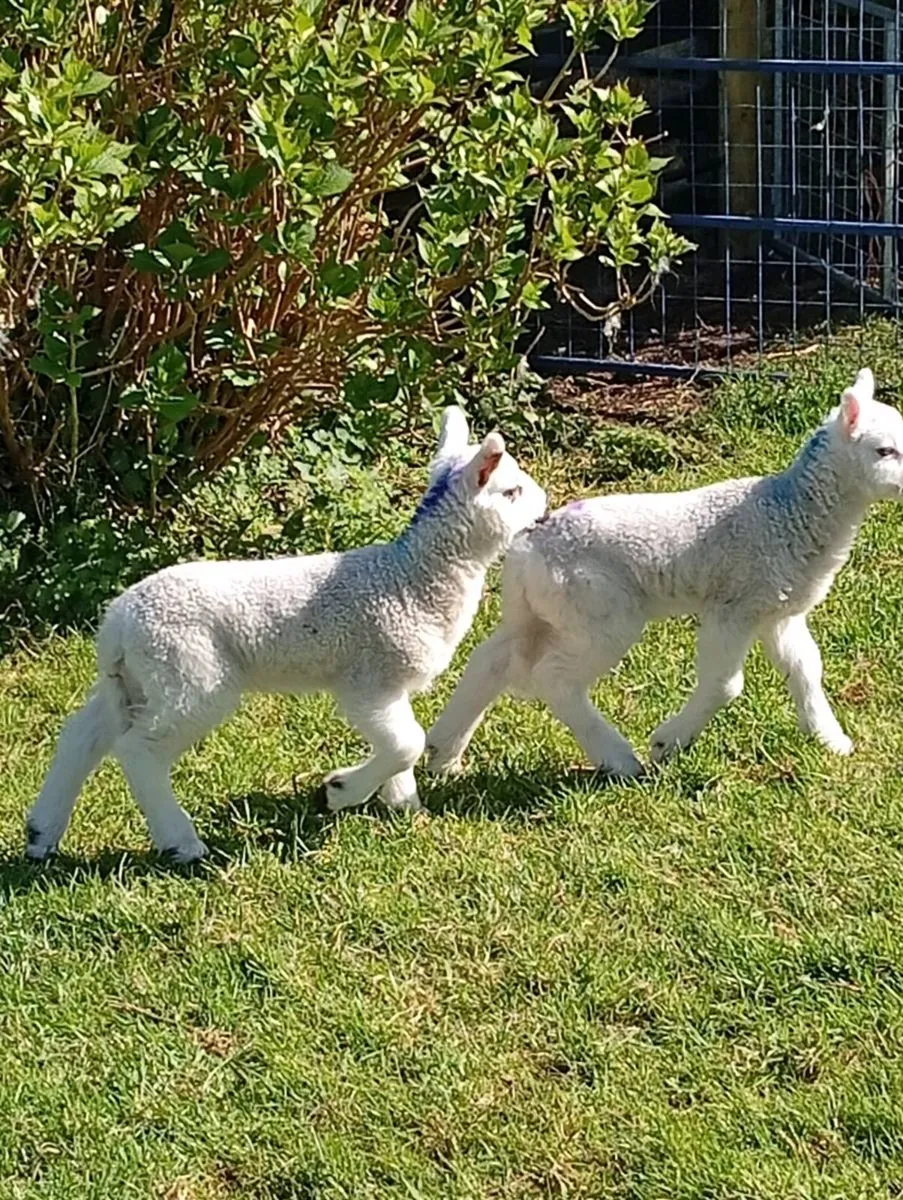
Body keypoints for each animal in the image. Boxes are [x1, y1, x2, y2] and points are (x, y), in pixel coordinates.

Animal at [27, 407, 547, 862]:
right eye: (512, 491)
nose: (544, 507)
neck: (413, 576)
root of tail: (116, 625)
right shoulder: (369, 677)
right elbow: (407, 743)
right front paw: (339, 793)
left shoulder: (390, 685)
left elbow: (401, 744)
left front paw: (402, 806)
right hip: (189, 674)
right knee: (139, 749)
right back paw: (182, 844)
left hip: (137, 680)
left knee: (83, 735)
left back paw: (41, 835)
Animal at [426, 369, 902, 777]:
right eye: (884, 451)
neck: (788, 512)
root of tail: (526, 545)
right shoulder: (733, 605)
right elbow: (725, 684)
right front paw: (668, 742)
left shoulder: (776, 609)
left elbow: (806, 670)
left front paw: (830, 740)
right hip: (598, 609)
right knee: (554, 677)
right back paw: (619, 759)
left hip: (537, 609)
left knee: (492, 660)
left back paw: (442, 753)